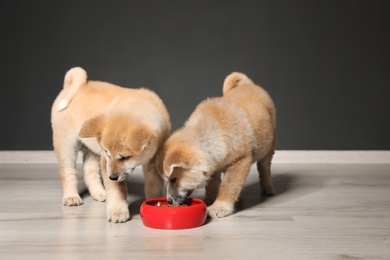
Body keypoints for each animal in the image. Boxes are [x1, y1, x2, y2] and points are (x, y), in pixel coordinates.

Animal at [50, 66, 171, 222]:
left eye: (125, 157)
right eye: (108, 153)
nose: (111, 177)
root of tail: (70, 86)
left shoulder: (153, 163)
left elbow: (153, 186)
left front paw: (153, 201)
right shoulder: (105, 161)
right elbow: (117, 190)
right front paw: (118, 211)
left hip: (92, 149)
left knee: (89, 172)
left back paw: (100, 193)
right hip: (66, 145)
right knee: (68, 172)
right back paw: (71, 196)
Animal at [157, 72, 276, 218]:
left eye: (173, 179)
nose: (169, 201)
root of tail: (248, 84)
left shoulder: (240, 160)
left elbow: (228, 186)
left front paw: (220, 206)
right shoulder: (213, 165)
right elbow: (213, 186)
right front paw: (210, 200)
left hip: (269, 146)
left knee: (264, 167)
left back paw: (268, 187)